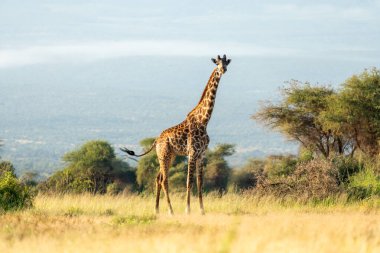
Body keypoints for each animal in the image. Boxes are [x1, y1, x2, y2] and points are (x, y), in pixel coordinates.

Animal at [121, 54, 230, 214]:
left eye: (226, 62)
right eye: (217, 63)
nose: (223, 70)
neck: (204, 121)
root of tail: (156, 141)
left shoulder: (201, 154)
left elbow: (200, 183)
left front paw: (202, 211)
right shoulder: (192, 153)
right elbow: (189, 182)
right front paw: (187, 210)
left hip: (168, 156)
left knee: (158, 178)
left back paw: (157, 210)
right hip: (164, 155)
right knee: (164, 180)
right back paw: (170, 211)